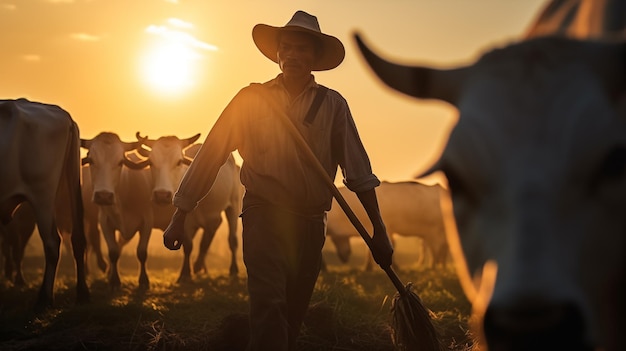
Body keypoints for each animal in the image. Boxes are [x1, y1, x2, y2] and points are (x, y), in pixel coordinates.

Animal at [0, 98, 89, 310]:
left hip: (42, 196)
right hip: (72, 182)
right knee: (77, 239)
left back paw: (44, 297)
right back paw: (82, 294)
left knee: (52, 242)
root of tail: (64, 115)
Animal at [80, 133, 152, 290]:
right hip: (89, 217)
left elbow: (142, 252)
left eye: (120, 162)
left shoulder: (147, 222)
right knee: (91, 238)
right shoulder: (105, 221)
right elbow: (113, 251)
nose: (103, 196)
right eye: (91, 160)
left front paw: (144, 280)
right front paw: (114, 280)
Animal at [135, 133, 243, 284]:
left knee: (232, 239)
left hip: (233, 204)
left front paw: (185, 273)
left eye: (179, 162)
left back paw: (233, 269)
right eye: (151, 162)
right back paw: (198, 266)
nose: (162, 195)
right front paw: (187, 272)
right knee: (210, 233)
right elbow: (188, 244)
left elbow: (189, 245)